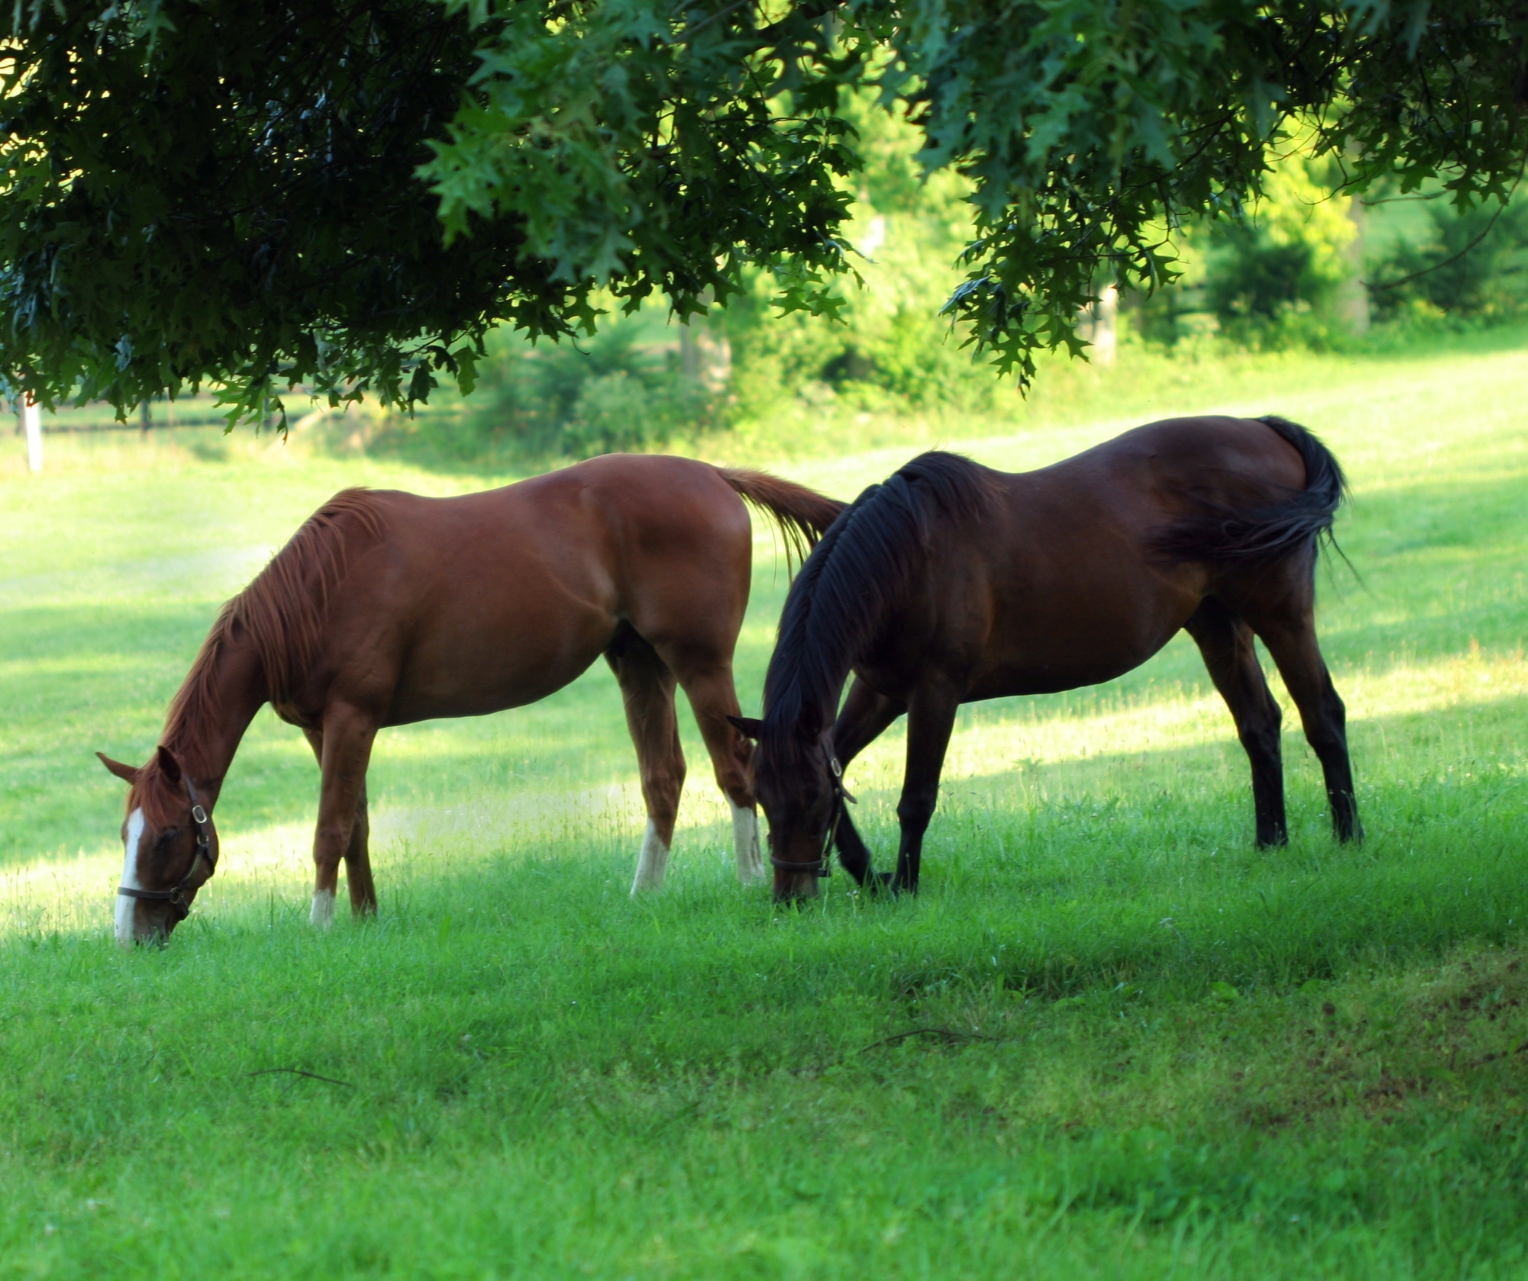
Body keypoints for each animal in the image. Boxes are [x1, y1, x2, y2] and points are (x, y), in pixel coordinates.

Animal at [97, 455, 843, 947]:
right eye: (126, 834)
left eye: (168, 834)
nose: (129, 934)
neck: (318, 592)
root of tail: (713, 474)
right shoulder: (326, 729)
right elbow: (357, 824)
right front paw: (366, 921)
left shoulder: (351, 718)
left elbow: (329, 830)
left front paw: (322, 926)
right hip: (640, 664)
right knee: (664, 778)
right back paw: (644, 894)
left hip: (698, 661)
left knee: (735, 766)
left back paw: (749, 880)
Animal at [733, 418, 1369, 904]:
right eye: (761, 797)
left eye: (809, 802)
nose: (790, 900)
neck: (906, 558)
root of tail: (1265, 429)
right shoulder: (881, 691)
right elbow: (840, 759)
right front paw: (871, 875)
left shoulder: (934, 692)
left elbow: (916, 799)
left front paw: (905, 886)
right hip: (1217, 625)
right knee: (1259, 724)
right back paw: (1271, 843)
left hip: (1283, 613)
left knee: (1322, 713)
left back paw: (1350, 838)